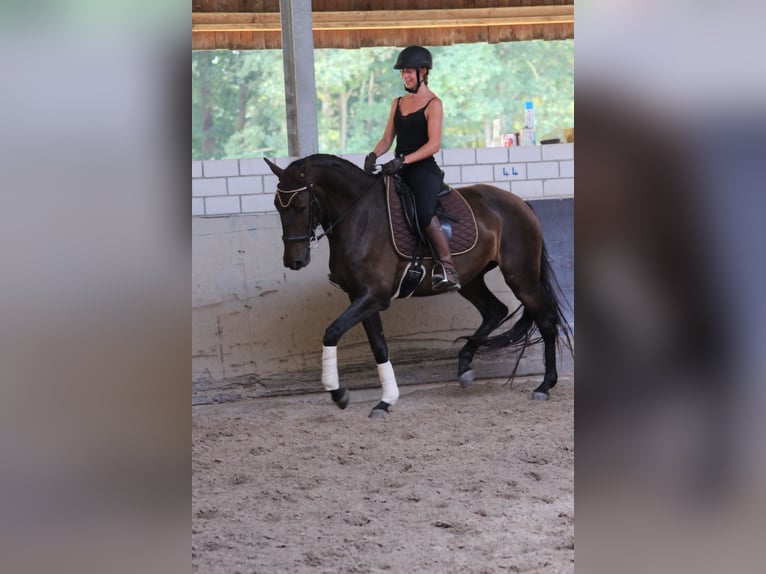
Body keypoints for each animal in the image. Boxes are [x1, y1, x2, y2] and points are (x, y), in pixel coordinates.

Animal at [268, 153, 572, 418]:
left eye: (300, 205)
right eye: (277, 205)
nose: (294, 261)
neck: (359, 218)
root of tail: (520, 202)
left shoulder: (373, 296)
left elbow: (331, 332)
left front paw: (338, 393)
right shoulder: (361, 296)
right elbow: (379, 346)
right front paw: (385, 401)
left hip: (521, 277)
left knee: (546, 321)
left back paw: (545, 385)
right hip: (470, 279)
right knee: (494, 310)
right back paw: (464, 364)